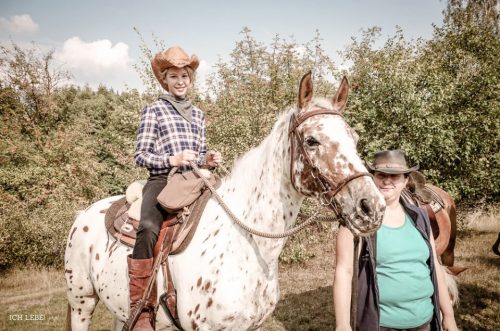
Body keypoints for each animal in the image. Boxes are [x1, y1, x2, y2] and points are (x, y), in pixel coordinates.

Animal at [64, 73, 384, 331]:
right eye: (312, 141)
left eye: (354, 138)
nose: (371, 206)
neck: (247, 243)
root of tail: (82, 215)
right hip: (82, 303)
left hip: (119, 310)